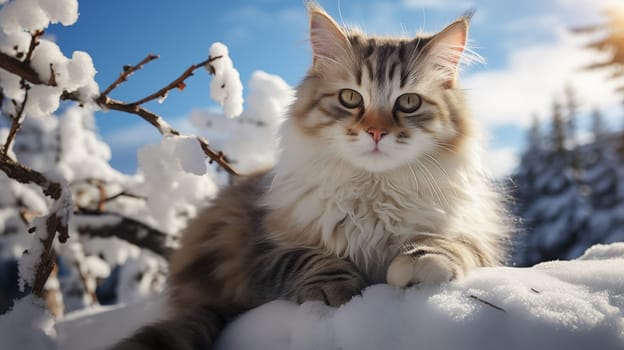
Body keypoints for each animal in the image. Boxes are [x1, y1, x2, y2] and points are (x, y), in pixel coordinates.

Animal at [113, 3, 512, 350]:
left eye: (409, 102)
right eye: (351, 98)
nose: (376, 132)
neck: (375, 191)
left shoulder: (475, 234)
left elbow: (452, 244)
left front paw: (421, 262)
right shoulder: (262, 251)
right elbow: (309, 259)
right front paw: (338, 289)